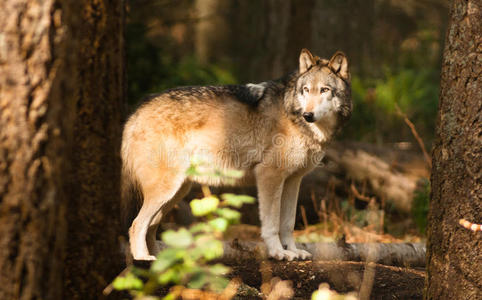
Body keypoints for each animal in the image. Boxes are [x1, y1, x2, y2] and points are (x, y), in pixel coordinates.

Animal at [121, 48, 350, 260]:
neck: (294, 115)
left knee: (151, 226)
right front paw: (278, 253)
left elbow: (287, 223)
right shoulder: (269, 176)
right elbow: (272, 224)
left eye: (324, 90)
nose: (308, 115)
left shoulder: (293, 180)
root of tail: (136, 112)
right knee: (136, 224)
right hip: (166, 190)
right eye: (306, 90)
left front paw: (293, 251)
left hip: (177, 192)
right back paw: (143, 259)